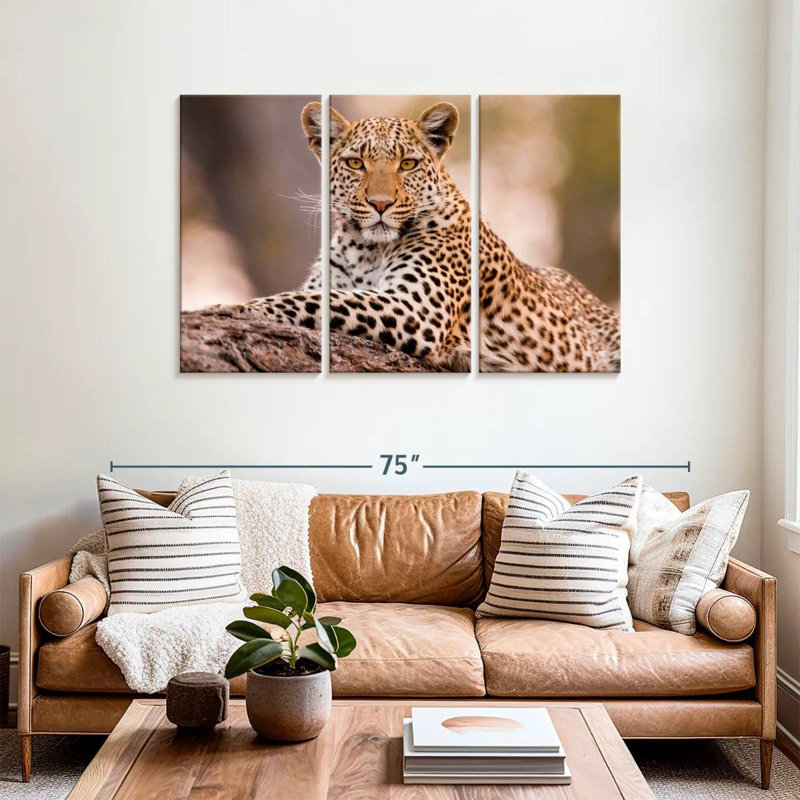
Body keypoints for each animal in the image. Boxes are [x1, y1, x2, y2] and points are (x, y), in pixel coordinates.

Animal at [228, 101, 620, 372]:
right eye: (355, 164)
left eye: (408, 164)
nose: (381, 204)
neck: (366, 249)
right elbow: (315, 295)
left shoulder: (417, 307)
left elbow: (314, 301)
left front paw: (233, 308)